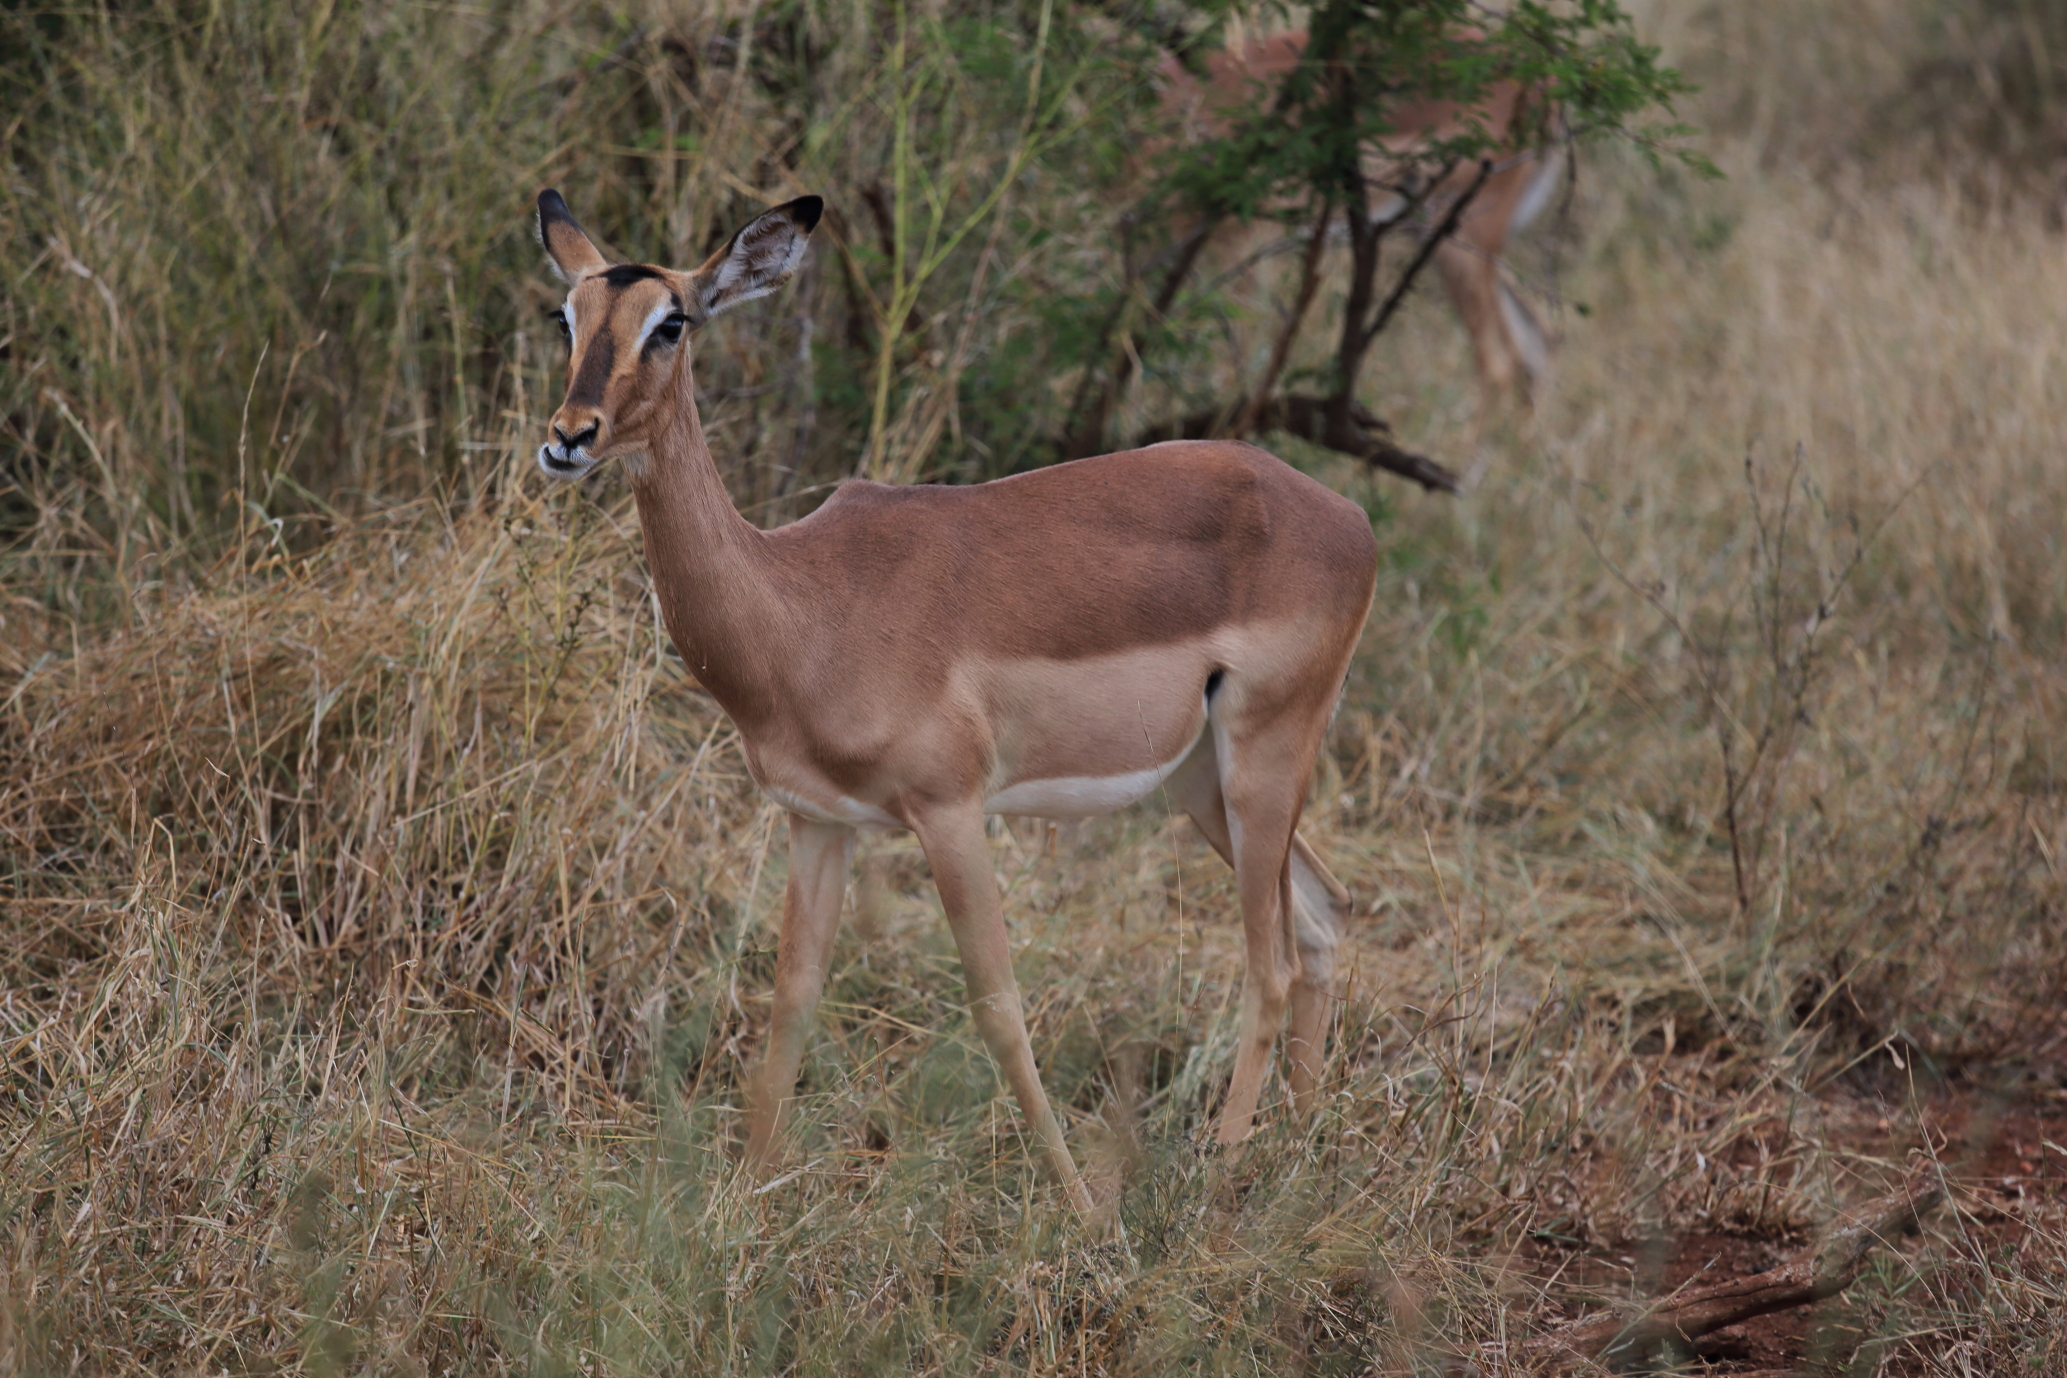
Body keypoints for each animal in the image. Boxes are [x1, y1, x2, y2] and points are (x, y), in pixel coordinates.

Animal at [534, 188, 1376, 1216]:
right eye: (567, 315)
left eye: (672, 321)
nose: (569, 436)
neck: (803, 604)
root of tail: (1349, 517)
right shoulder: (818, 822)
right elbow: (791, 1000)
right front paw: (740, 1200)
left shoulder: (950, 811)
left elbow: (998, 1005)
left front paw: (1084, 1214)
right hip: (1201, 781)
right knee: (1325, 913)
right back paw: (1292, 1154)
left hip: (1261, 758)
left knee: (1271, 962)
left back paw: (1215, 1175)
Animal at [1160, 29, 1565, 402]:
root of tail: (1544, 77)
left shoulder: (1233, 245)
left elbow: (1230, 362)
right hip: (1441, 236)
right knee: (1537, 342)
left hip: (1460, 233)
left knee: (1501, 365)